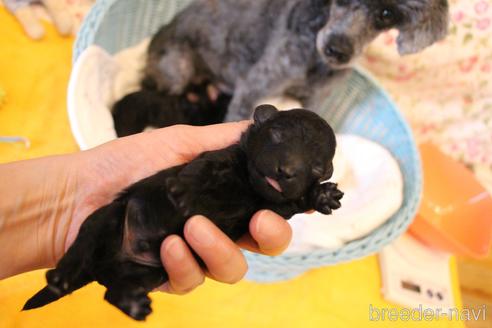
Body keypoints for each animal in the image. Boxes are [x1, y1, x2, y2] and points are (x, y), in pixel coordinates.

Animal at [23, 105, 344, 320]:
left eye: (317, 167)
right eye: (277, 134)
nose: (287, 171)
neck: (248, 185)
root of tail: (99, 268)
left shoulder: (276, 207)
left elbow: (297, 202)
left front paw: (323, 195)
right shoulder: (217, 157)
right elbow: (199, 172)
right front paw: (184, 193)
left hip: (147, 272)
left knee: (112, 292)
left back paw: (132, 303)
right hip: (107, 219)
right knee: (81, 246)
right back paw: (61, 278)